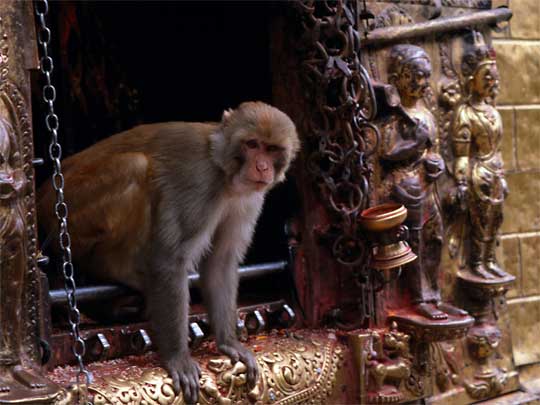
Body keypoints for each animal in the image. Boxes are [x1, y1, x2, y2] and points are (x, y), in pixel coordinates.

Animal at [37, 102, 300, 404]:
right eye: (252, 144)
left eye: (272, 149)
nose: (261, 166)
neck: (223, 171)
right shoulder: (198, 182)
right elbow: (170, 260)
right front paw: (178, 357)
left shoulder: (248, 200)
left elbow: (220, 262)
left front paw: (228, 342)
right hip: (67, 215)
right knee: (135, 166)